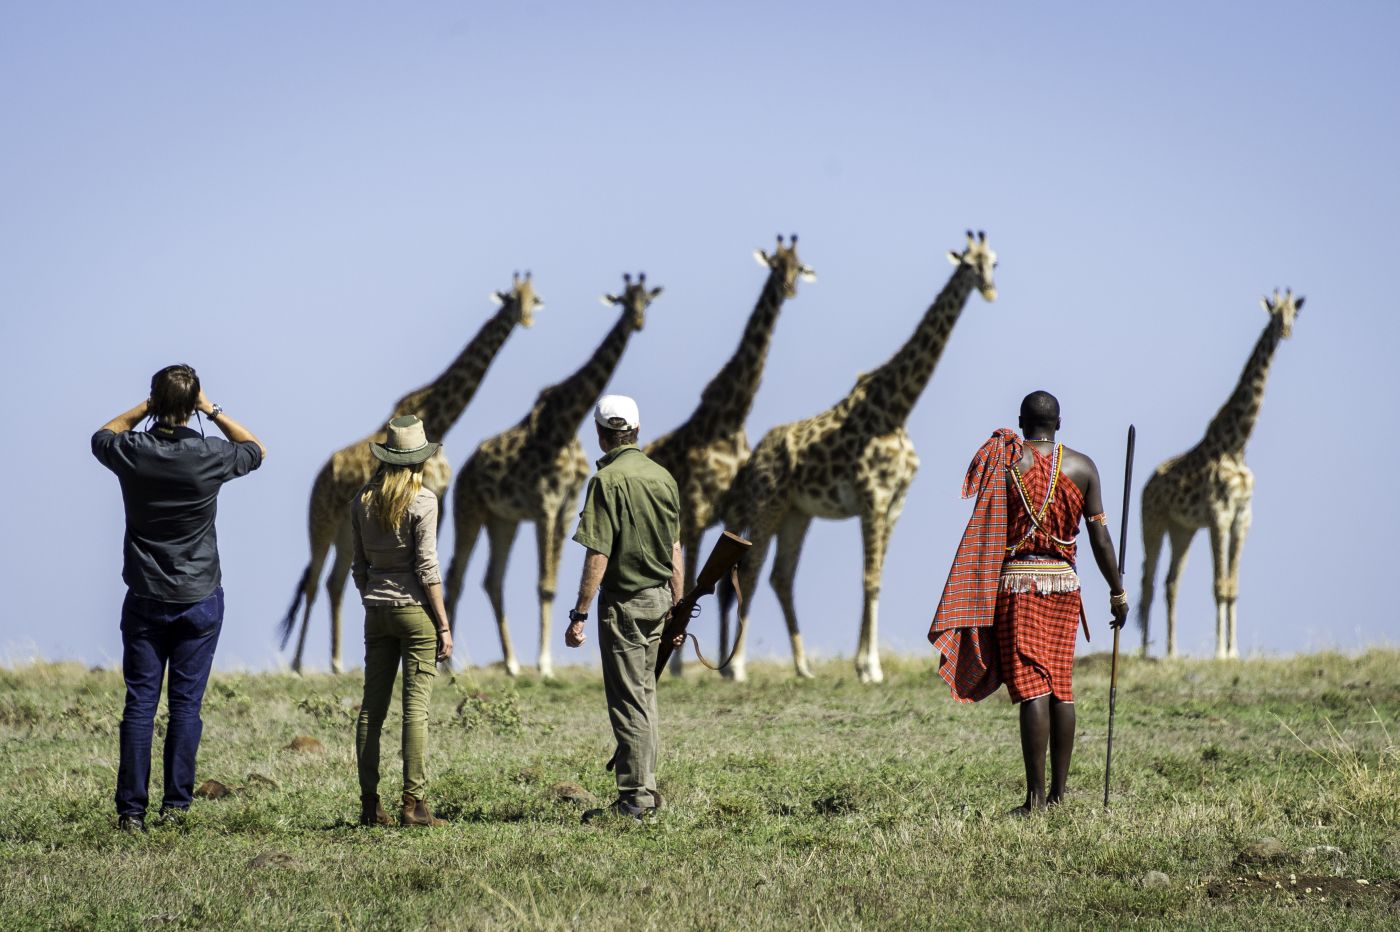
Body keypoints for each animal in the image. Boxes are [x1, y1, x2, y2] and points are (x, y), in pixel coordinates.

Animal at [280, 272, 540, 671]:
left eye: (534, 298)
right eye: (512, 299)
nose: (525, 320)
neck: (440, 418)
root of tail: (320, 477)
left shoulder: (439, 498)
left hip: (344, 529)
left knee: (334, 582)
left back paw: (336, 662)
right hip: (319, 520)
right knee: (313, 583)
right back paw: (296, 665)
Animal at [448, 270, 666, 674]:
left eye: (647, 300)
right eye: (624, 300)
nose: (638, 321)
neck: (567, 424)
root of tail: (465, 469)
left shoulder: (567, 507)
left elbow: (550, 584)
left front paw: (542, 662)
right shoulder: (545, 504)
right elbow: (543, 584)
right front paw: (546, 664)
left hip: (503, 519)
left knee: (492, 580)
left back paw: (511, 663)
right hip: (468, 509)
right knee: (456, 574)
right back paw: (447, 663)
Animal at [646, 230, 817, 668]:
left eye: (799, 266)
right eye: (775, 264)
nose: (789, 288)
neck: (729, 421)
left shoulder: (736, 512)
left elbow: (725, 590)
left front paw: (727, 665)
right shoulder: (695, 512)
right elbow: (693, 578)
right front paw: (682, 666)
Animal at [716, 232, 1002, 682]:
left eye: (994, 262)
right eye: (969, 265)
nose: (989, 290)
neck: (896, 409)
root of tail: (752, 460)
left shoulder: (896, 503)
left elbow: (877, 577)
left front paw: (865, 664)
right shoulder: (873, 498)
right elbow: (869, 578)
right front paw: (870, 667)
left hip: (797, 513)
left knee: (781, 576)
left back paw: (803, 666)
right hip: (767, 505)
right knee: (751, 571)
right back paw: (737, 668)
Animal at [1136, 286, 1299, 657]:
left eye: (1294, 314)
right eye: (1274, 314)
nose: (1285, 331)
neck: (1236, 446)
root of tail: (1147, 485)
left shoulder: (1242, 517)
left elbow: (1232, 586)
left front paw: (1234, 651)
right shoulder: (1219, 516)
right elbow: (1218, 585)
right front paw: (1220, 653)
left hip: (1182, 529)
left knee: (1170, 583)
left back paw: (1171, 651)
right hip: (1153, 521)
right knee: (1148, 581)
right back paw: (1144, 650)